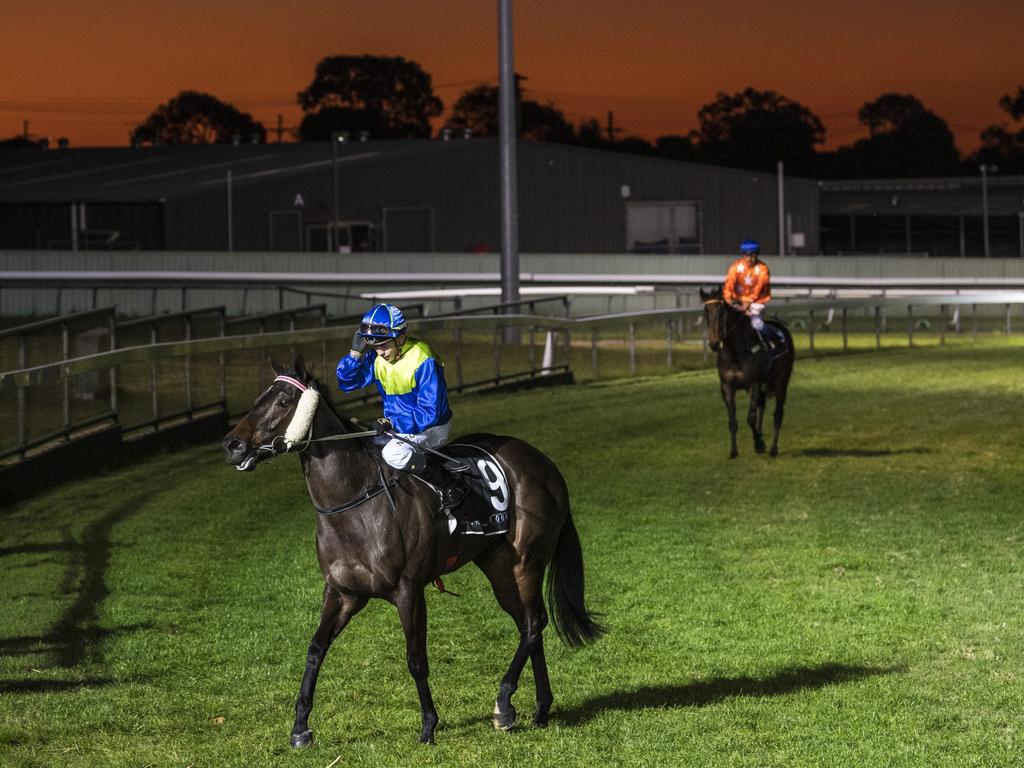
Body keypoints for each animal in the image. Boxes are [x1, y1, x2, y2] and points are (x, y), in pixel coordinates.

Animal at [217, 360, 598, 753]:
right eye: (259, 398)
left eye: (283, 401)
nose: (232, 445)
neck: (356, 502)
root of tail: (545, 464)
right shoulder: (343, 593)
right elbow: (315, 650)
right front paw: (300, 728)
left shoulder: (408, 590)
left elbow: (416, 659)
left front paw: (428, 725)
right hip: (498, 566)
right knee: (528, 625)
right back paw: (539, 708)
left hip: (526, 561)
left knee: (535, 622)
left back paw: (504, 703)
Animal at [700, 286, 794, 456]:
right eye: (706, 312)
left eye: (721, 312)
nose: (714, 343)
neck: (735, 353)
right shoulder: (726, 386)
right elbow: (733, 420)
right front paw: (734, 451)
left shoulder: (754, 383)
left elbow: (750, 418)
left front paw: (759, 445)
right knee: (762, 407)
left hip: (781, 382)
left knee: (778, 413)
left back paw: (773, 449)